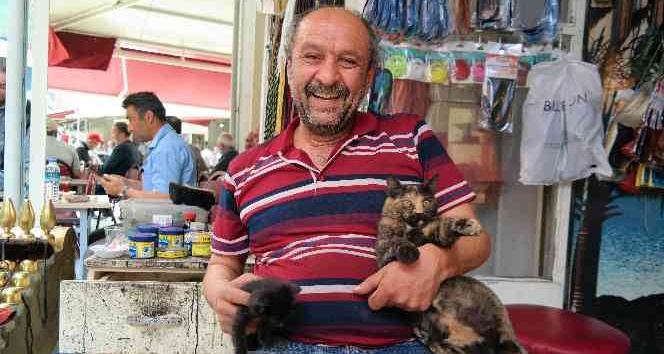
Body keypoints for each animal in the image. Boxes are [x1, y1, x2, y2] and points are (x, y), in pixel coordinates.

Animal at [378, 177, 524, 354]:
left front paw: (469, 225)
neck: (412, 228)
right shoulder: (383, 255)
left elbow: (443, 226)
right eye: (407, 202)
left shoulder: (439, 238)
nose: (419, 213)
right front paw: (409, 251)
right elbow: (397, 242)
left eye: (426, 202)